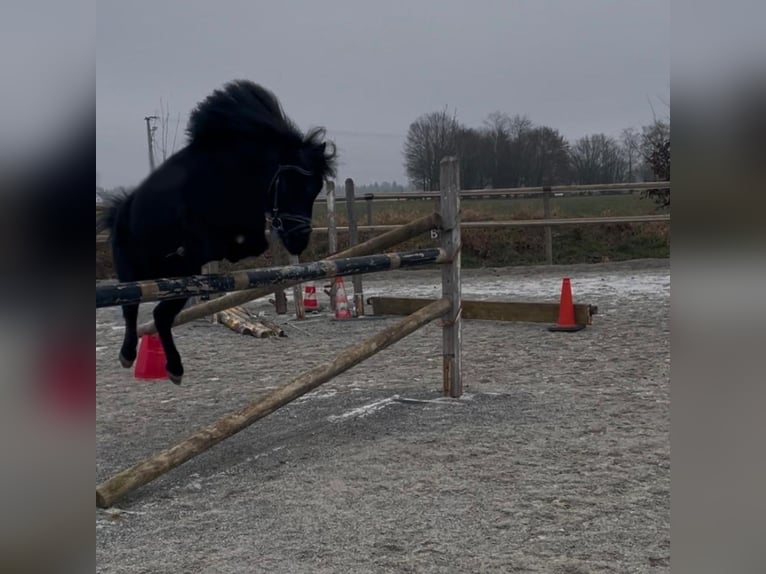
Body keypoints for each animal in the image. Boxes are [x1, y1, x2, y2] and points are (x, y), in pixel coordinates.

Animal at [101, 80, 336, 388]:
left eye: (316, 188)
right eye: (289, 184)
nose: (300, 240)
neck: (231, 175)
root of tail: (119, 212)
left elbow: (253, 243)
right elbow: (233, 244)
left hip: (178, 282)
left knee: (161, 316)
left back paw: (174, 368)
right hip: (131, 272)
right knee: (133, 310)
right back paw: (131, 356)